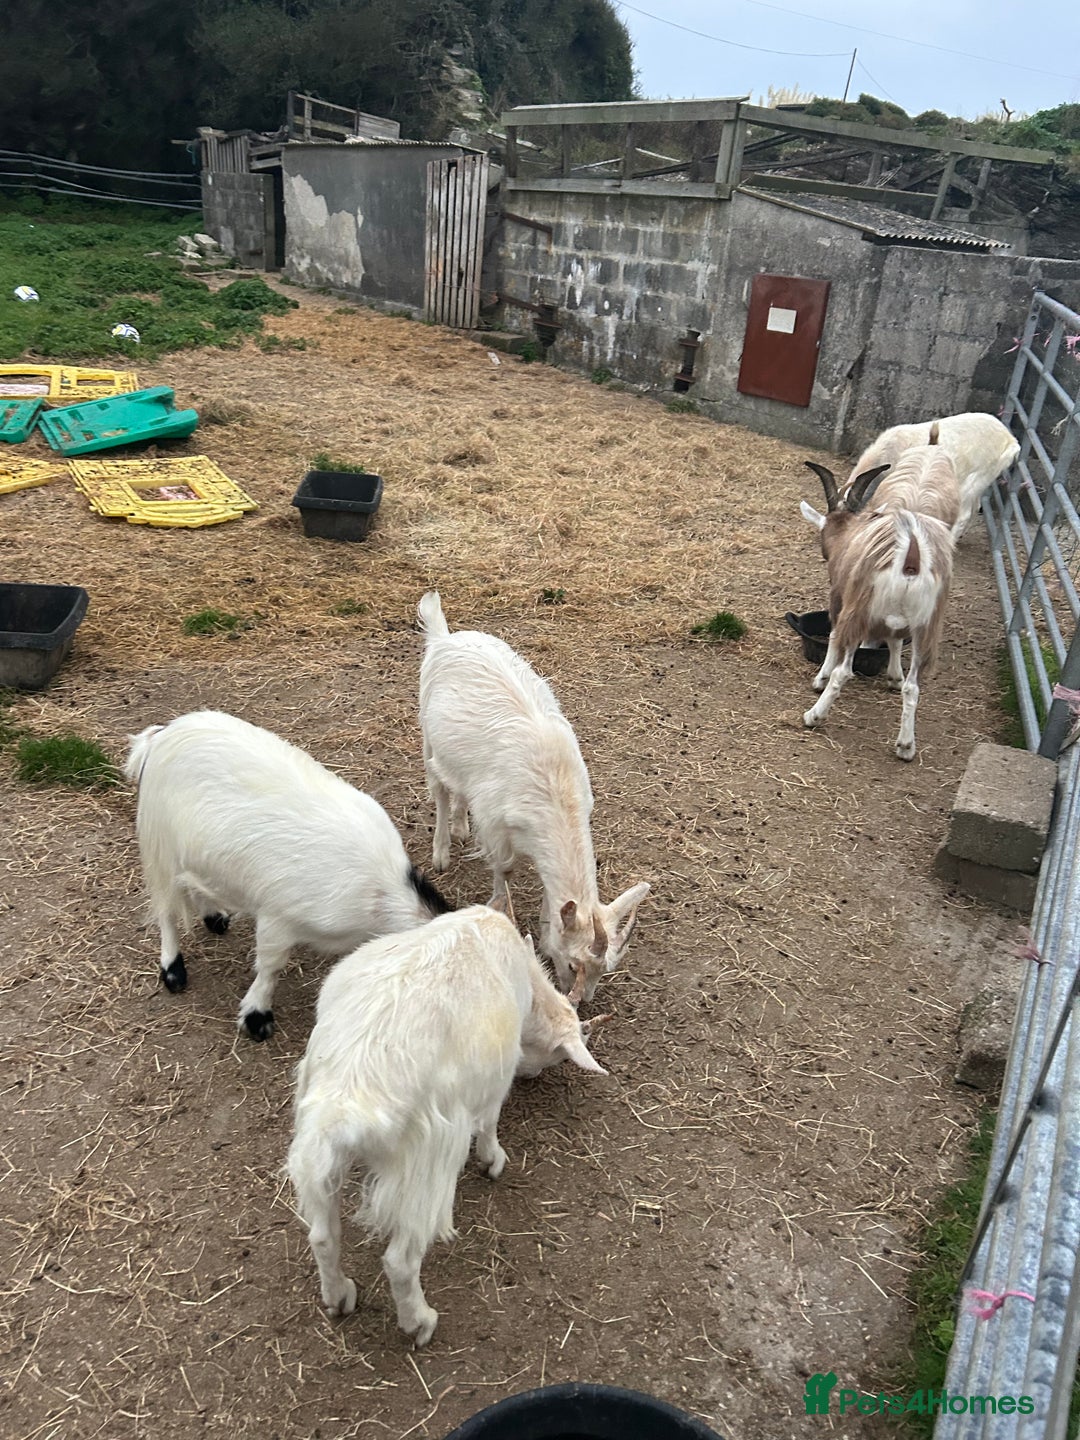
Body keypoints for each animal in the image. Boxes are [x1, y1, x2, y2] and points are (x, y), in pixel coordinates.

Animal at [125, 710, 451, 1041]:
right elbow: (271, 966)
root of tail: (163, 734)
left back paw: (213, 917)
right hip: (158, 840)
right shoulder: (277, 918)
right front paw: (256, 1016)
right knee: (166, 908)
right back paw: (173, 970)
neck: (381, 890)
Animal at [285, 903, 607, 1346]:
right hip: (425, 1165)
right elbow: (489, 1122)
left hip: (317, 1152)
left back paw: (339, 1297)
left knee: (322, 1236)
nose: (535, 1073)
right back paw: (419, 1323)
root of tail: (346, 1103)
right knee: (400, 1260)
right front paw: (492, 1161)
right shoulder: (493, 1080)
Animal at [416, 591, 649, 1004]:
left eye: (601, 973)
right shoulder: (495, 825)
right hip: (428, 733)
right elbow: (504, 869)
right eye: (572, 964)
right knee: (441, 790)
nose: (581, 1000)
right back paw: (442, 849)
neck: (554, 792)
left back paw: (460, 826)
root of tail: (443, 638)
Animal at [800, 434, 959, 761]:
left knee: (844, 672)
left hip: (859, 615)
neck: (848, 536)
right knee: (913, 687)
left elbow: (833, 637)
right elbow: (895, 642)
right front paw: (893, 676)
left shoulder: (841, 599)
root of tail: (912, 550)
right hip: (925, 628)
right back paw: (906, 746)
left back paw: (814, 715)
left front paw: (818, 679)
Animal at [844, 412, 1018, 539]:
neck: (887, 452)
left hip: (973, 481)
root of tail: (1010, 440)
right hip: (980, 483)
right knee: (976, 507)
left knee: (964, 515)